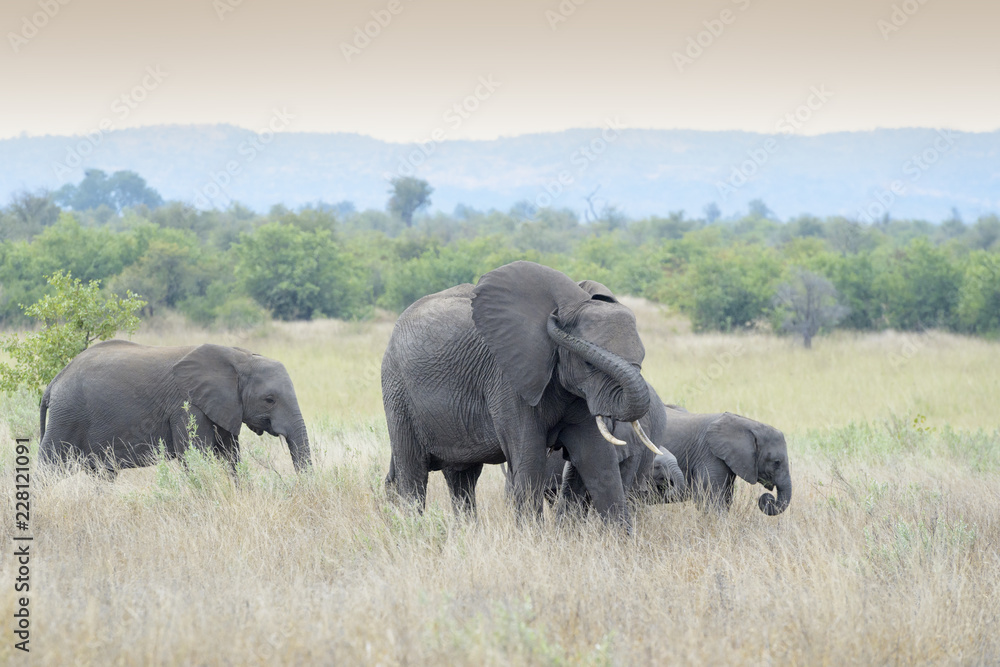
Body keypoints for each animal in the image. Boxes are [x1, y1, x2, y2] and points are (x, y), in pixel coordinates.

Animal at [40, 342, 312, 478]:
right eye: (269, 400)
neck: (240, 357)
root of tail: (54, 381)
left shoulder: (223, 406)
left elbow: (230, 457)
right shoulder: (187, 406)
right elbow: (194, 456)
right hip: (67, 416)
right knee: (50, 467)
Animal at [378, 260, 668, 528]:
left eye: (641, 360)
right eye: (588, 363)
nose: (554, 319)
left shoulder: (580, 392)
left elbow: (599, 462)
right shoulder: (508, 380)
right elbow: (529, 460)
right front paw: (534, 540)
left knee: (462, 478)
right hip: (397, 391)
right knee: (413, 473)